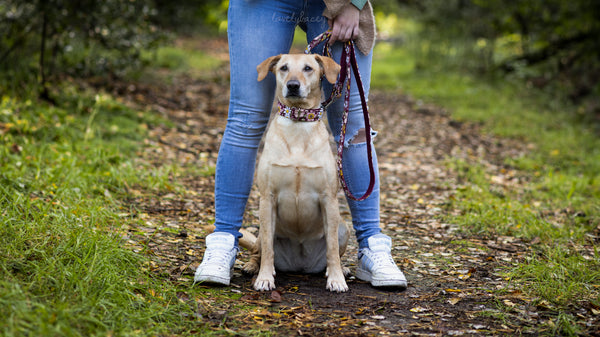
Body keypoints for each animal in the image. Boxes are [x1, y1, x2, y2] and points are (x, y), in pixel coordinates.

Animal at [239, 53, 350, 292]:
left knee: (335, 251)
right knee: (259, 250)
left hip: (344, 227)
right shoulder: (267, 199)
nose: (292, 85)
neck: (299, 122)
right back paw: (252, 267)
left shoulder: (329, 199)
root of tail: (300, 266)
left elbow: (332, 249)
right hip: (262, 227)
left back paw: (343, 269)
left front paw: (336, 278)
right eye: (284, 68)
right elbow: (268, 250)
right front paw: (264, 278)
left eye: (308, 68)